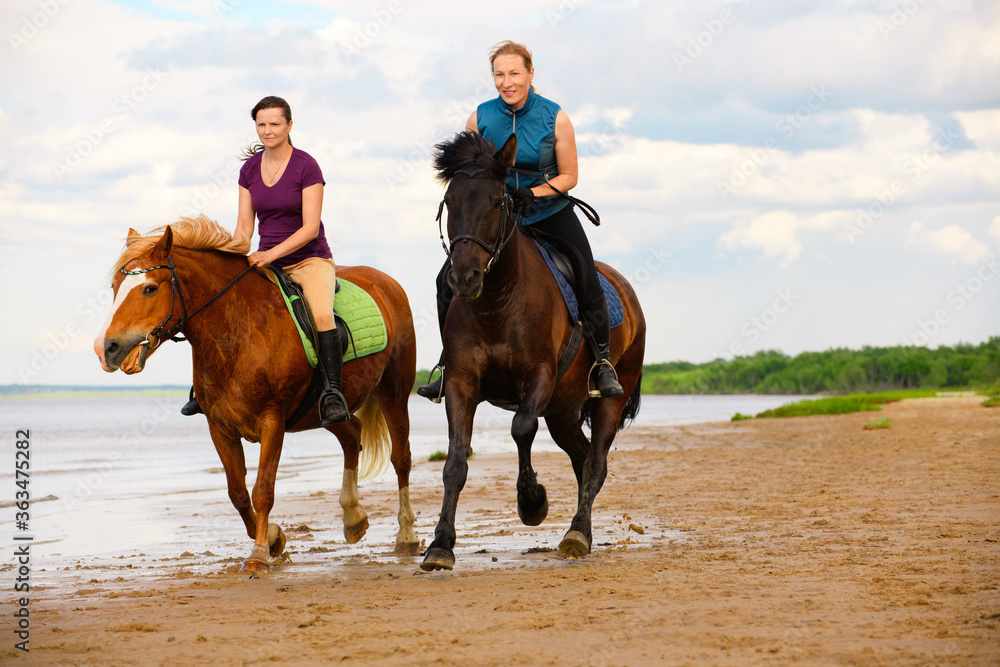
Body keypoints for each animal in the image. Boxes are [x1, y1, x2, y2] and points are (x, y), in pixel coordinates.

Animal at [95, 215, 420, 576]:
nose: (107, 349)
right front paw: (275, 539)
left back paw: (406, 535)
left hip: (394, 391)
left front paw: (259, 555)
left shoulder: (272, 420)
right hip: (324, 409)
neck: (237, 333)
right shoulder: (219, 427)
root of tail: (386, 282)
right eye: (114, 288)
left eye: (150, 288)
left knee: (401, 457)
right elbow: (237, 492)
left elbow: (263, 489)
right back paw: (353, 519)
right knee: (352, 436)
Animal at [418, 132, 644, 576]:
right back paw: (583, 530)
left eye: (496, 201)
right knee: (581, 456)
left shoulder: (537, 375)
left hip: (610, 395)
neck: (496, 300)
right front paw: (440, 545)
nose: (464, 278)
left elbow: (521, 427)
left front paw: (532, 502)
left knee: (596, 461)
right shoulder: (460, 382)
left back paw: (577, 533)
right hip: (562, 409)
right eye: (449, 202)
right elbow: (455, 461)